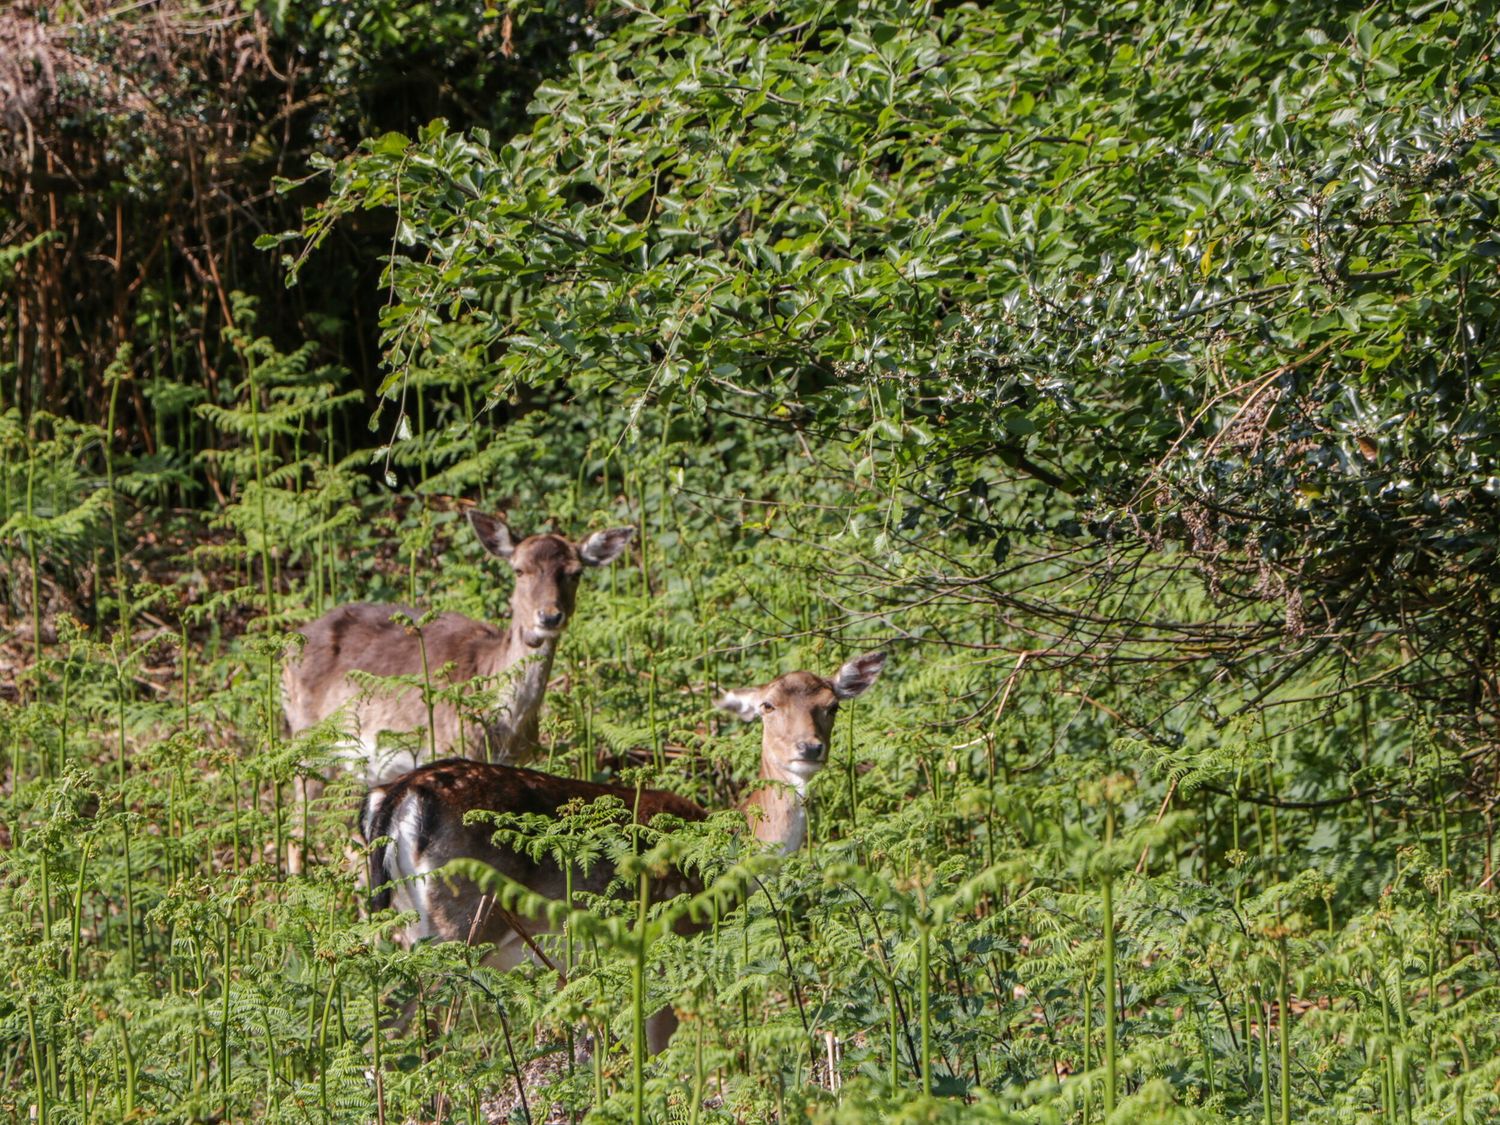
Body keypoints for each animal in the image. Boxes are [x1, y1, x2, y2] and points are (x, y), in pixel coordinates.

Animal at [283, 510, 636, 870]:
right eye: (518, 569)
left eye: (575, 573)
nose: (549, 616)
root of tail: (291, 642)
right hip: (308, 740)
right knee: (298, 826)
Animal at [357, 651, 882, 1050]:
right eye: (768, 706)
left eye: (832, 705)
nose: (808, 748)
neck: (733, 856)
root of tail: (397, 795)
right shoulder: (674, 936)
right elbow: (657, 1046)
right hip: (458, 921)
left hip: (399, 918)